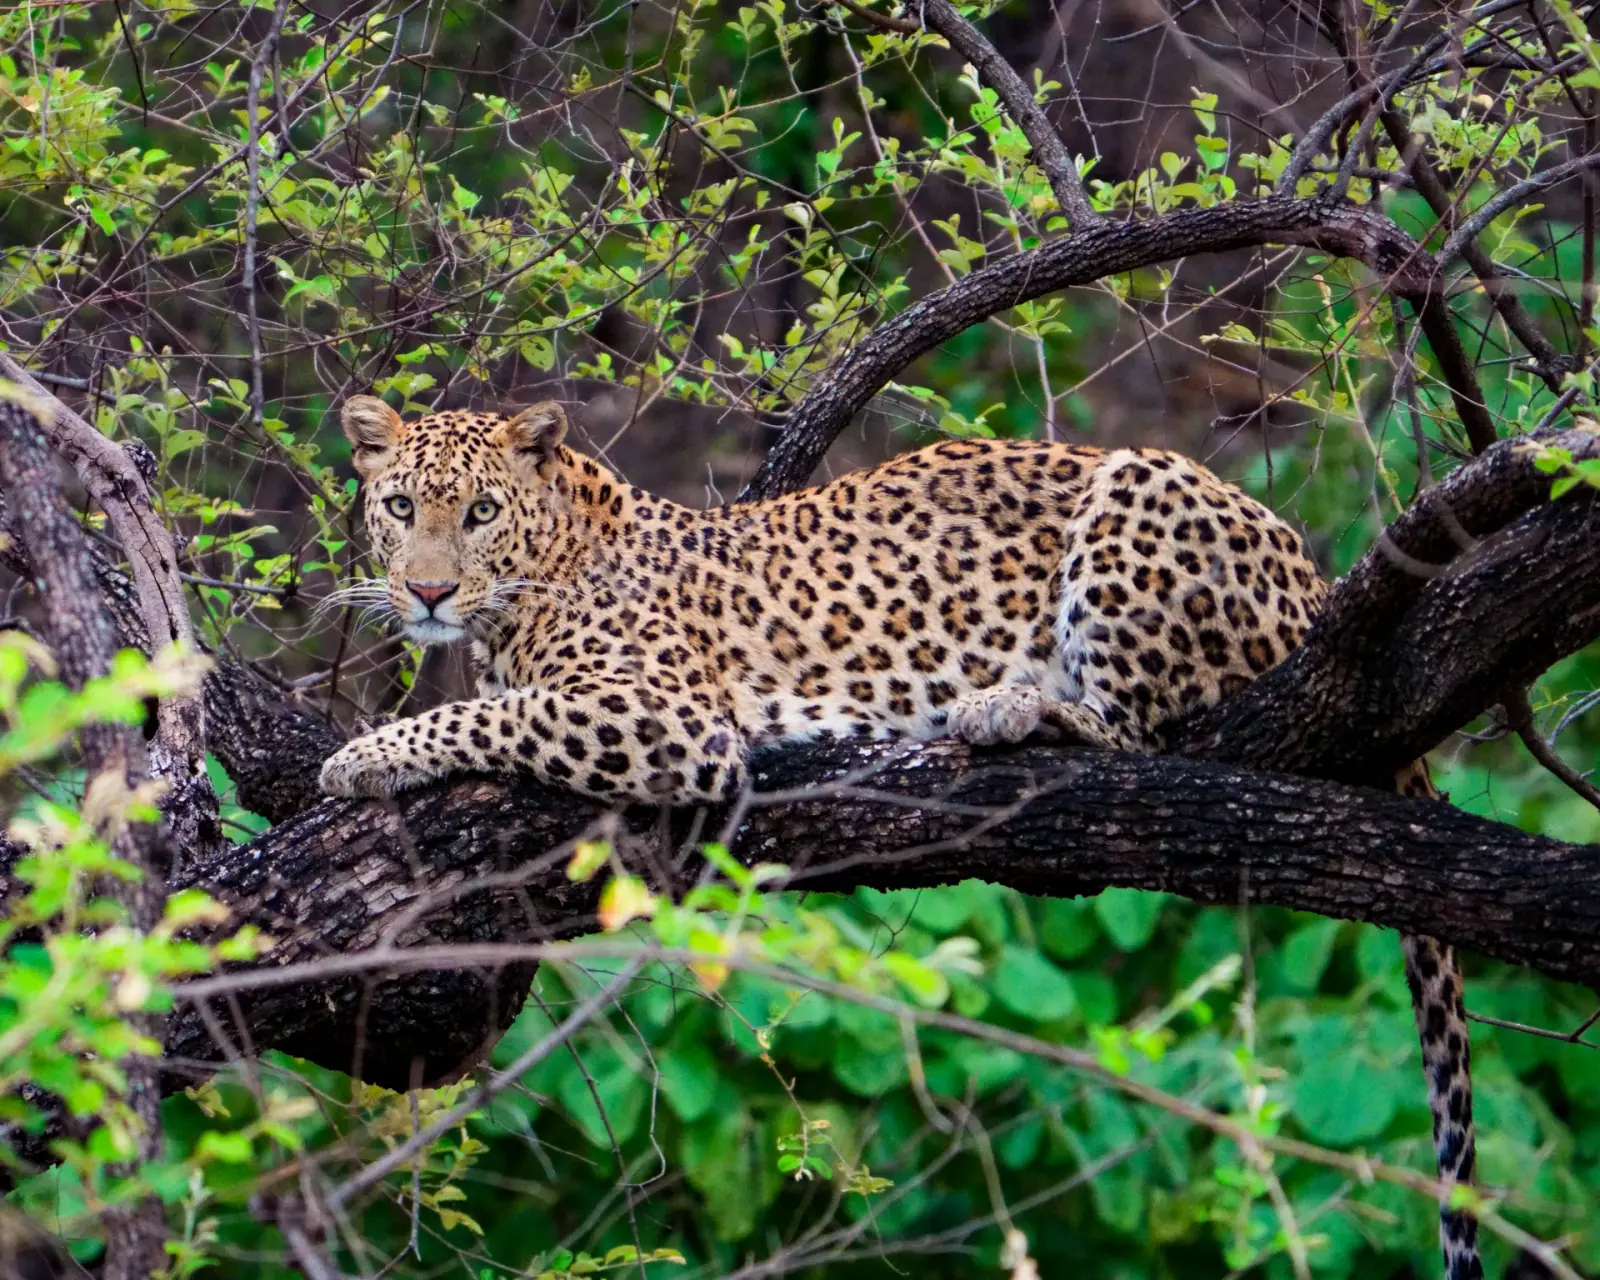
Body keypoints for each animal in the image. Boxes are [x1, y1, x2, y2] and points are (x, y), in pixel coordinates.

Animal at [318, 395, 1480, 1279]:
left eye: (478, 511)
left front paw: (360, 756)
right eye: (399, 506)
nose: (426, 590)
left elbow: (492, 715)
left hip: (1140, 493)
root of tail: (1316, 575)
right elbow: (492, 704)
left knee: (1146, 731)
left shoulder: (667, 718)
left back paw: (1007, 706)